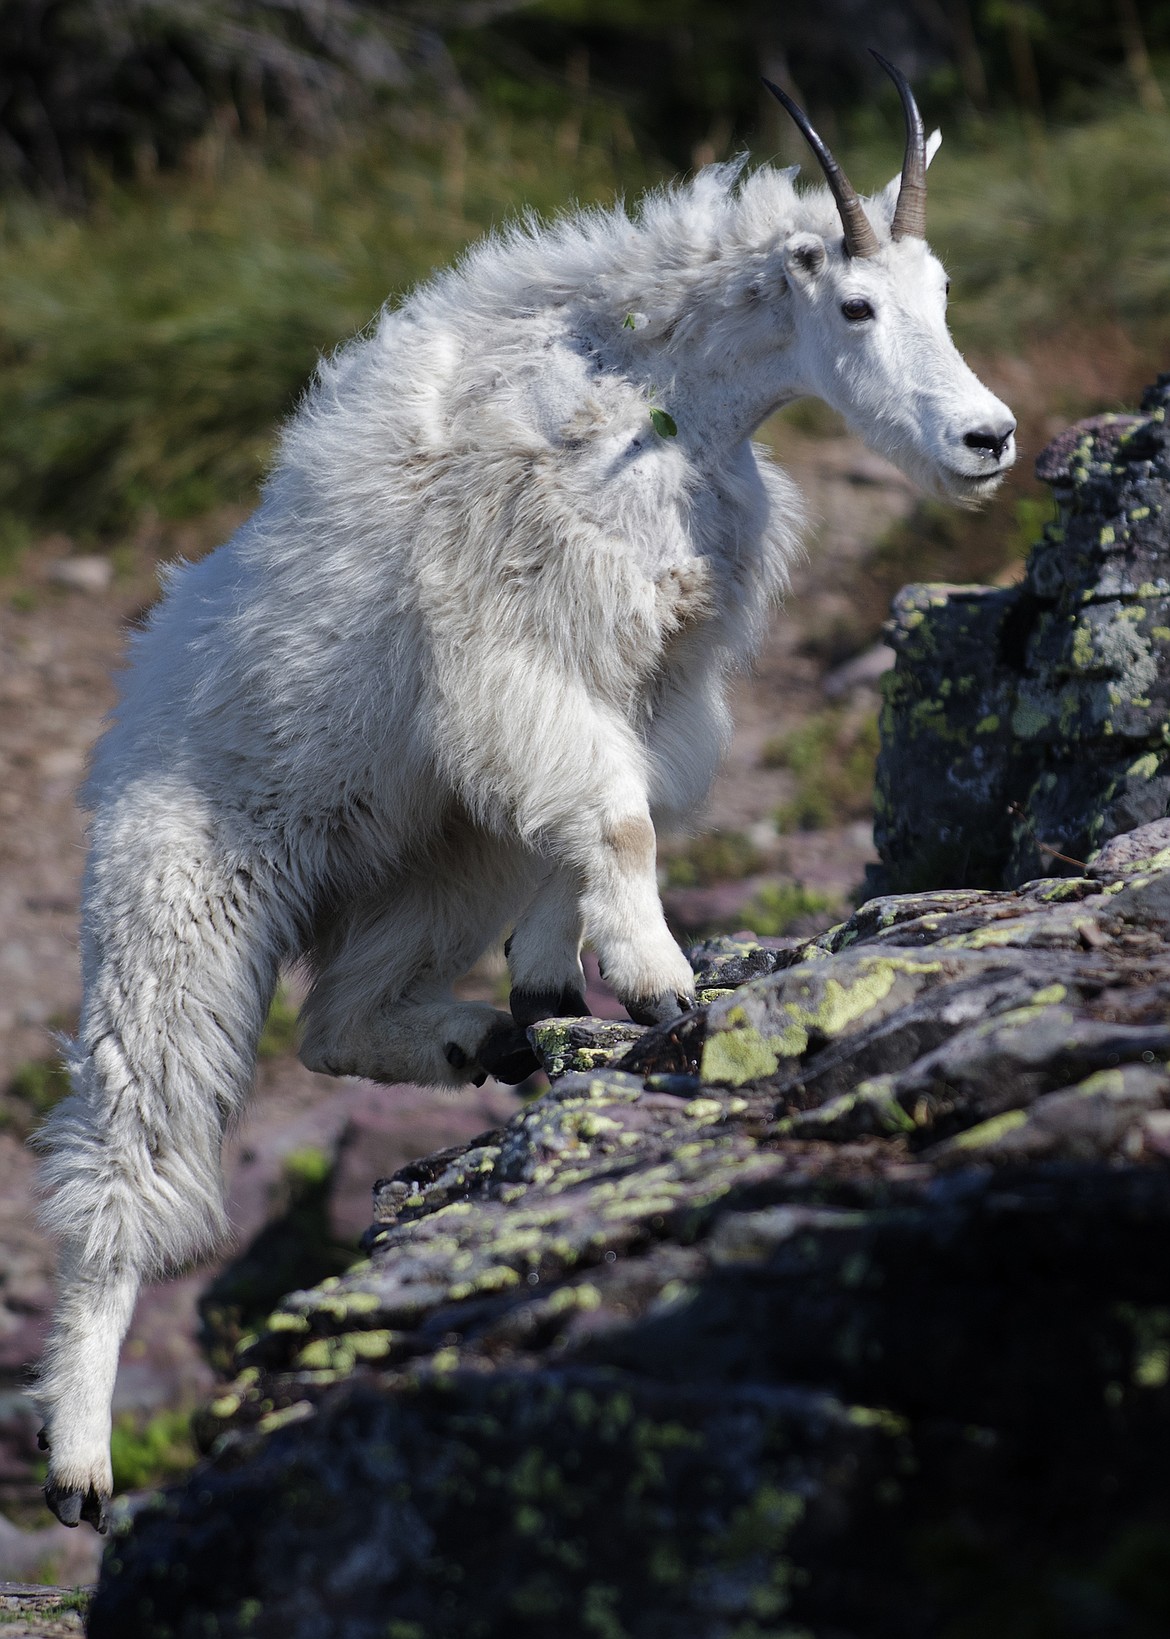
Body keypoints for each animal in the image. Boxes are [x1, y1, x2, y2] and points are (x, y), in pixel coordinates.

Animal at [36, 57, 1009, 1527]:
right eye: (855, 305)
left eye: (944, 292)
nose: (987, 438)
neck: (655, 397)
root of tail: (120, 735)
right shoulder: (526, 650)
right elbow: (614, 815)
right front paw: (665, 988)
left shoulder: (645, 679)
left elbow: (608, 818)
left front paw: (560, 990)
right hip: (180, 912)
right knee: (128, 1153)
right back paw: (80, 1463)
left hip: (434, 860)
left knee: (339, 1017)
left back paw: (478, 1040)